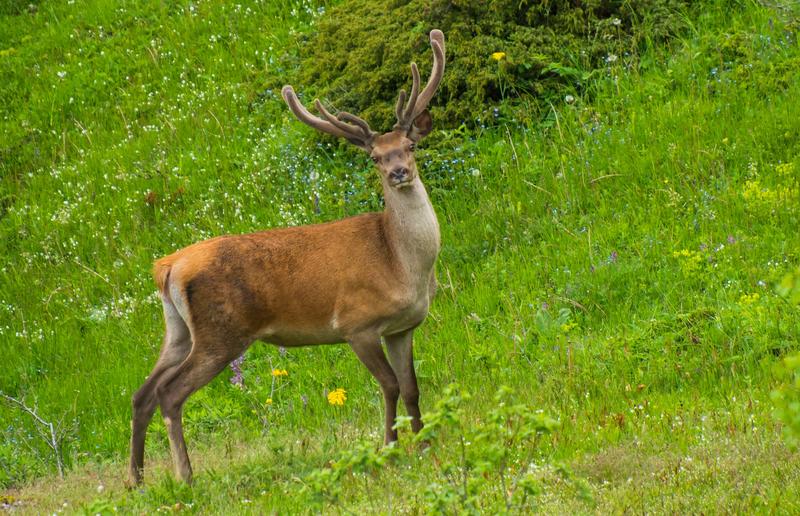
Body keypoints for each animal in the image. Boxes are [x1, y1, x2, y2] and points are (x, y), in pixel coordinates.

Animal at [128, 29, 446, 488]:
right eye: (374, 157)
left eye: (409, 146)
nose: (398, 172)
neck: (402, 264)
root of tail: (167, 266)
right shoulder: (357, 324)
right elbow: (388, 386)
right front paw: (389, 446)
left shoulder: (402, 327)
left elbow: (411, 386)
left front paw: (422, 441)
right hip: (221, 332)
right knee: (169, 392)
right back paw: (186, 476)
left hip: (178, 330)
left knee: (142, 393)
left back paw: (136, 480)